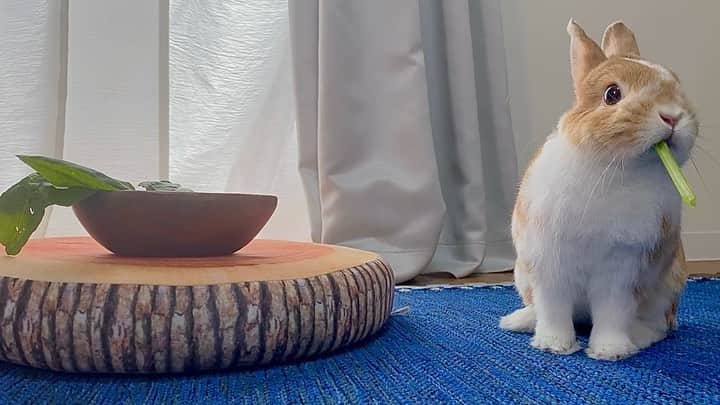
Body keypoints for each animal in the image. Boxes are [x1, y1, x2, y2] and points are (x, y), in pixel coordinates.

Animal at [499, 19, 697, 361]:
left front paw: (609, 350)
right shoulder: (549, 262)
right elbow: (553, 308)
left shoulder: (622, 270)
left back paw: (638, 338)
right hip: (522, 274)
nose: (673, 116)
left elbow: (612, 312)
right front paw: (554, 345)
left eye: (677, 86)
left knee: (660, 325)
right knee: (539, 307)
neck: (615, 169)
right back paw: (516, 321)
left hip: (669, 285)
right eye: (612, 94)